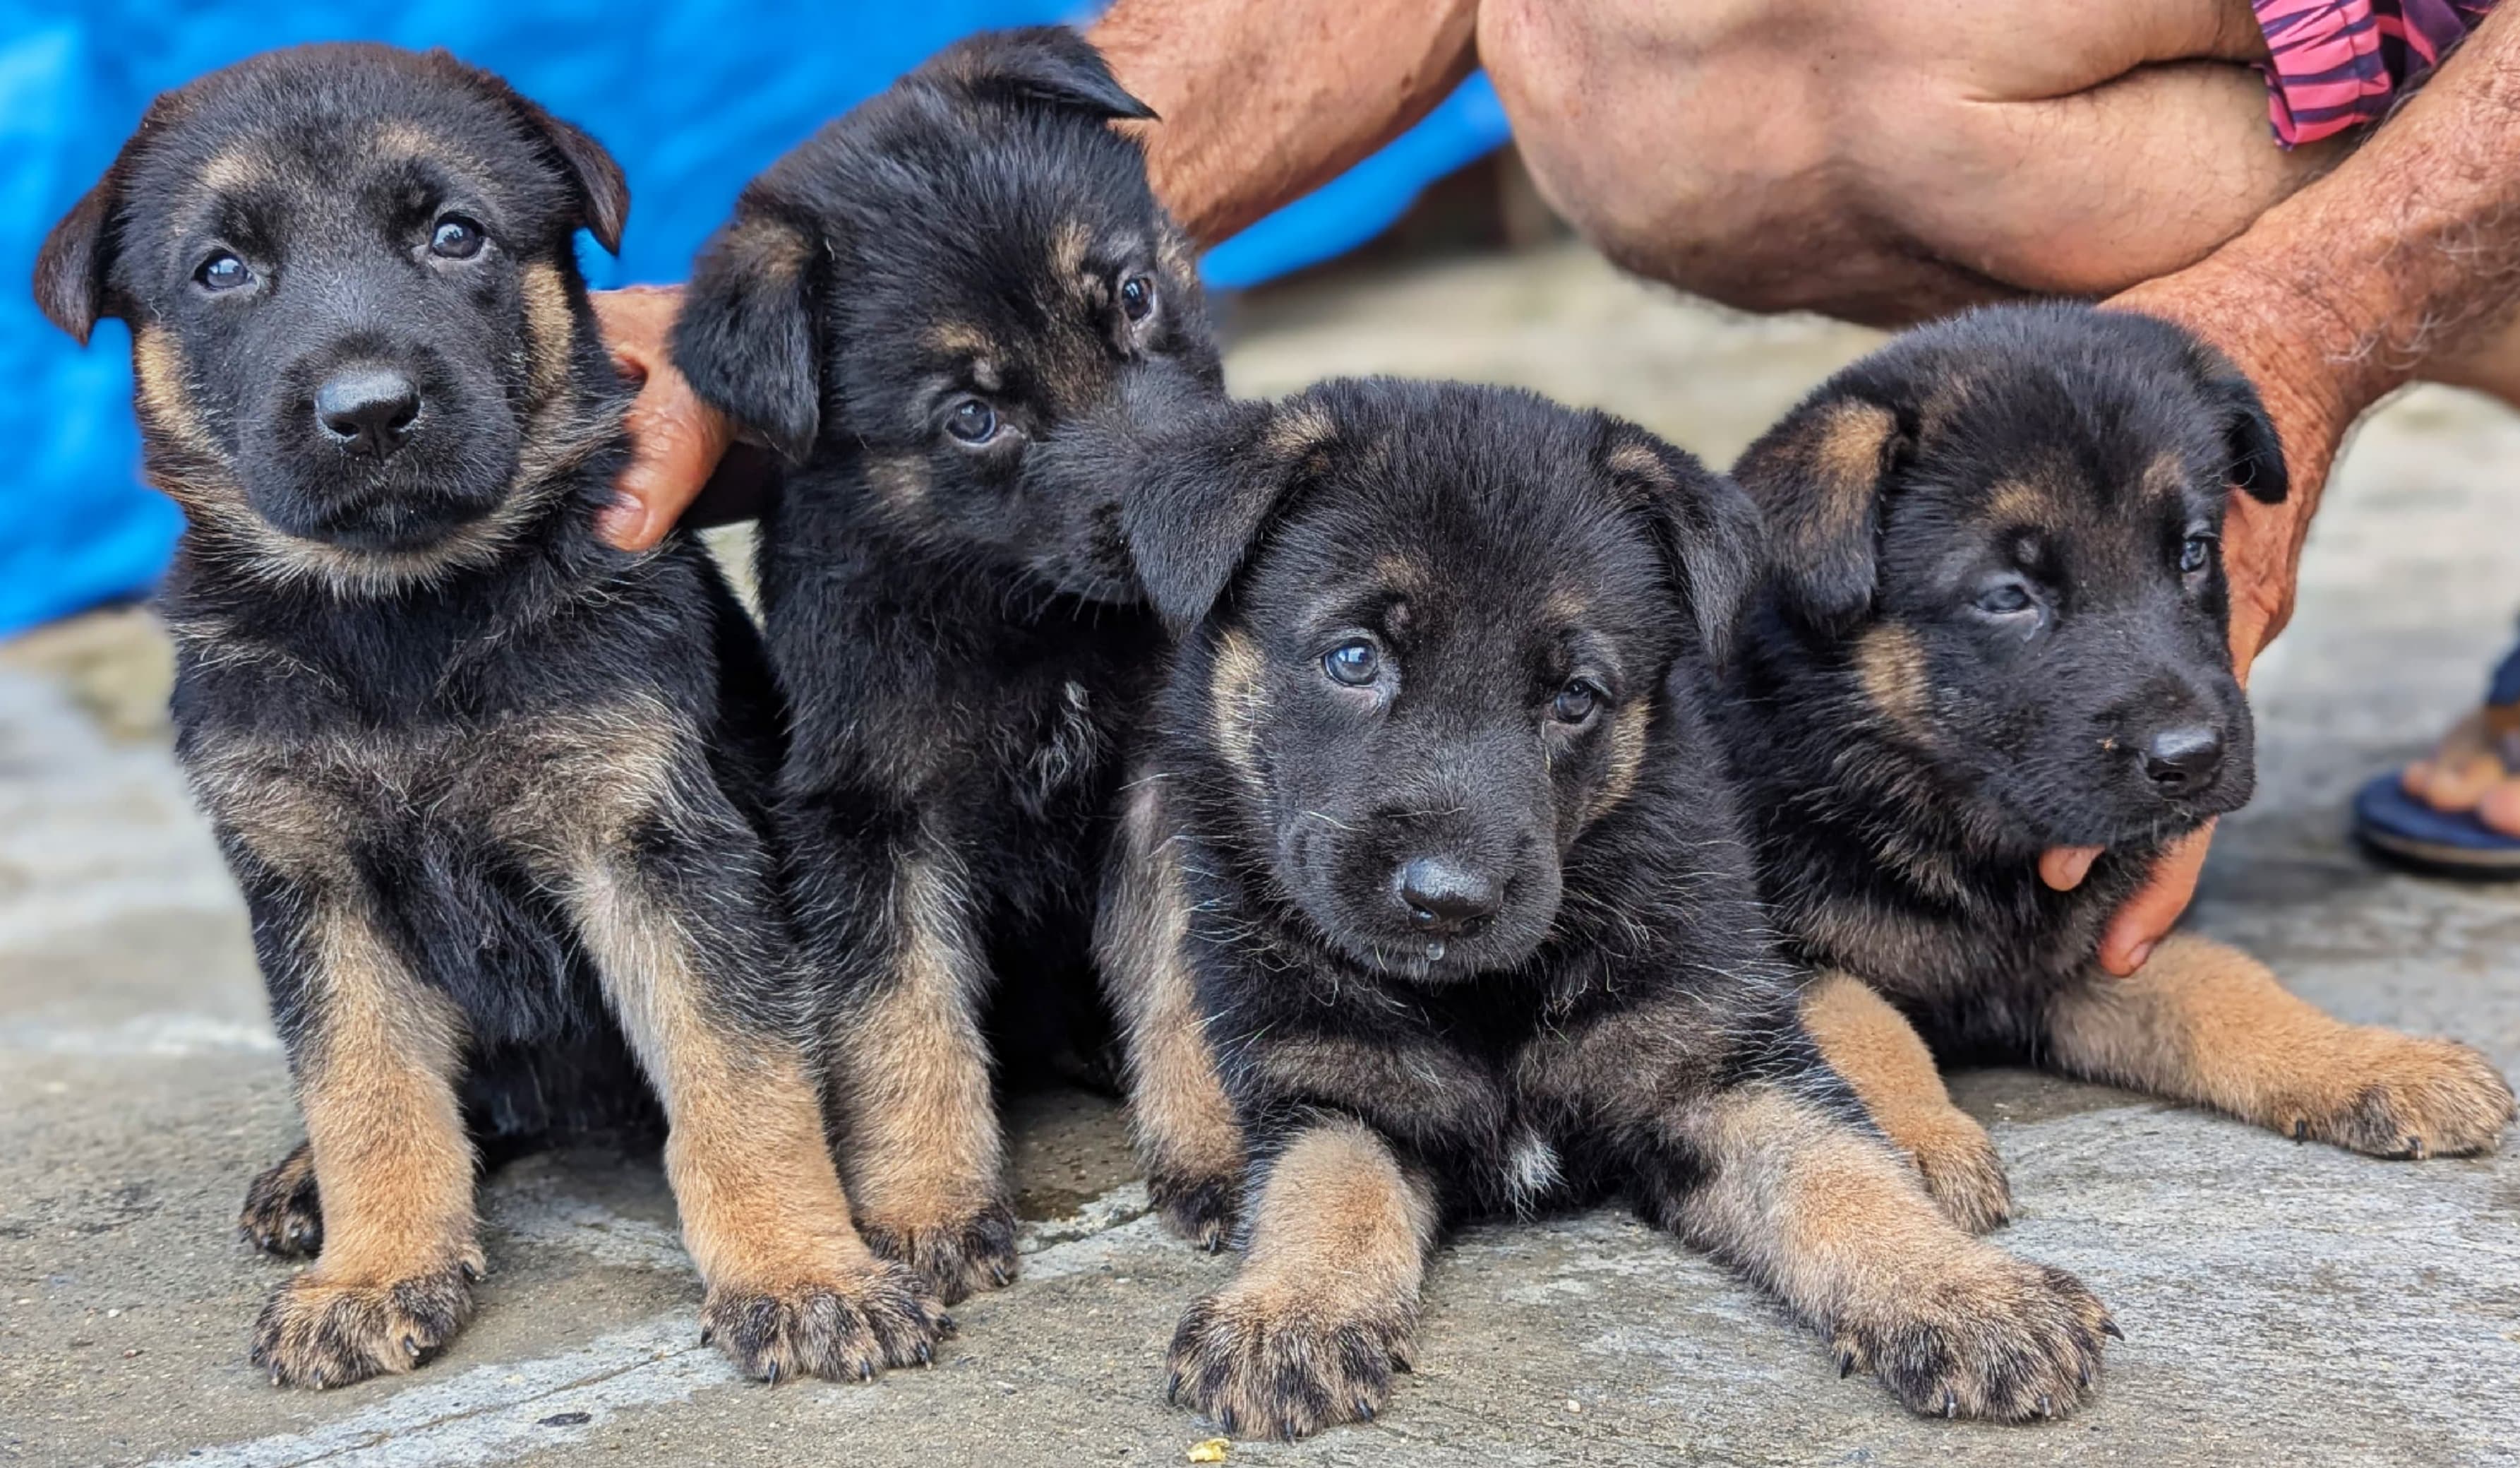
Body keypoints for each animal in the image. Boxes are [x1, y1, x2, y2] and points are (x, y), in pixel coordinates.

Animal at [37, 37, 947, 1392]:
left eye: (454, 235)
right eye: (222, 270)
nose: (368, 410)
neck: (407, 619)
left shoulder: (654, 845)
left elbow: (736, 1076)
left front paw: (800, 1270)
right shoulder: (314, 876)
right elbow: (364, 1084)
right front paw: (372, 1268)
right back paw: (308, 1184)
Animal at [665, 25, 1225, 1301]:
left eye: (1132, 295)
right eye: (973, 417)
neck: (1021, 614)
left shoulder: (1161, 783)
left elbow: (1187, 971)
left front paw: (1220, 1146)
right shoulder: (871, 819)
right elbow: (900, 1014)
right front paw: (927, 1203)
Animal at [1113, 373, 2116, 1443]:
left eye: (1575, 696)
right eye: (1353, 658)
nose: (1447, 902)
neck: (1490, 995)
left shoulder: (1718, 1065)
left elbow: (1839, 1166)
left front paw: (1962, 1291)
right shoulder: (1326, 1089)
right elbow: (1323, 1189)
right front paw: (1290, 1308)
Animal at [1723, 299, 2520, 1231]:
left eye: (2193, 552)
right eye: (2008, 596)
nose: (2194, 760)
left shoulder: (2099, 955)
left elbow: (2229, 988)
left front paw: (2370, 1059)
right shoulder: (1768, 965)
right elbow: (1862, 1024)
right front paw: (1914, 1144)